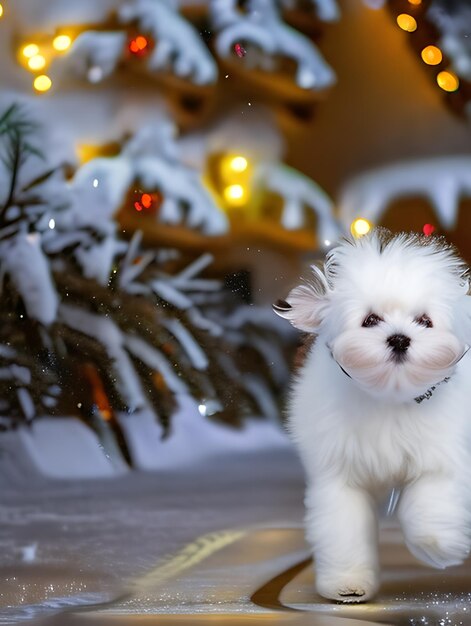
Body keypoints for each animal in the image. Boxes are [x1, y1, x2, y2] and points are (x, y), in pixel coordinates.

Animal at [272, 228, 471, 600]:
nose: (399, 339)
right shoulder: (338, 470)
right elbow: (343, 526)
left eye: (425, 321)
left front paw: (437, 545)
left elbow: (430, 499)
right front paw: (346, 581)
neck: (390, 394)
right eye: (370, 320)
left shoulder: (445, 453)